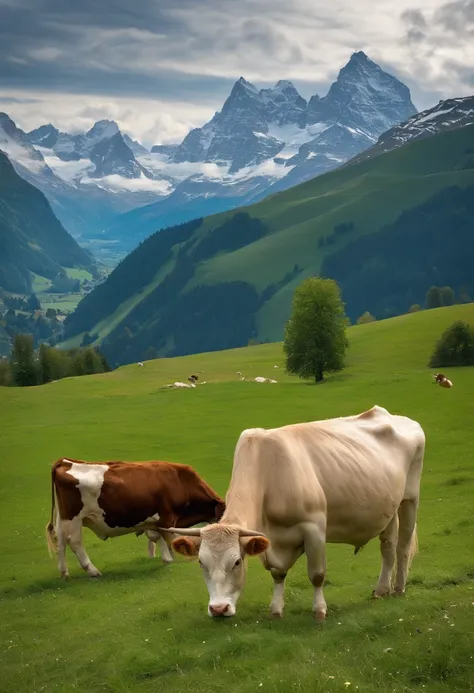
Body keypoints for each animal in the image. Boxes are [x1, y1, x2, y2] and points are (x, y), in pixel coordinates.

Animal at [46, 456, 226, 576]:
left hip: (63, 520)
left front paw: (166, 557)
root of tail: (66, 461)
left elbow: (158, 537)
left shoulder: (157, 520)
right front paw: (173, 558)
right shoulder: (167, 516)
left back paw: (64, 572)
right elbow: (169, 537)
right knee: (75, 542)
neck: (181, 481)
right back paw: (92, 570)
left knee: (60, 541)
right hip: (74, 519)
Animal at [164, 402, 426, 620]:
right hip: (387, 507)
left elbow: (317, 574)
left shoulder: (314, 528)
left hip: (409, 498)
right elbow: (278, 573)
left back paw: (399, 589)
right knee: (388, 547)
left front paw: (319, 610)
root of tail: (397, 417)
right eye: (201, 562)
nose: (219, 609)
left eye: (237, 562)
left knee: (402, 546)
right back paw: (382, 589)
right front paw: (276, 609)